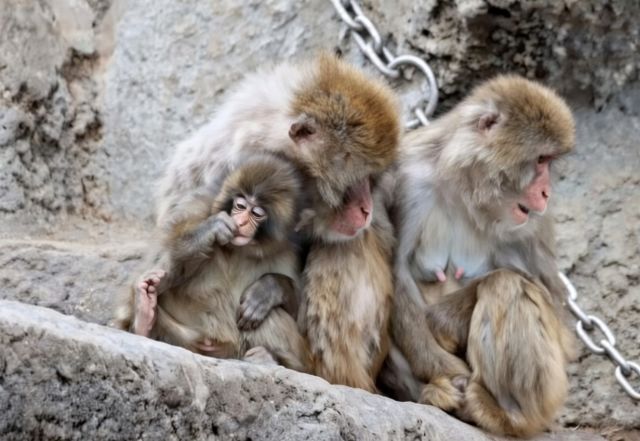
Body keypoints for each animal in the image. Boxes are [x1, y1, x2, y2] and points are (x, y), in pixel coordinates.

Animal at [114, 154, 311, 372]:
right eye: (240, 206)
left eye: (257, 213)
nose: (241, 222)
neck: (242, 248)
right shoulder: (195, 207)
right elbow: (159, 259)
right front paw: (211, 230)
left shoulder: (290, 250)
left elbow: (301, 316)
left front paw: (268, 289)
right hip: (189, 341)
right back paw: (144, 317)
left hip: (233, 349)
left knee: (271, 313)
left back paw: (268, 357)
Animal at [388, 75, 578, 437]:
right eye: (541, 160)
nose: (547, 192)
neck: (465, 190)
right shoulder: (407, 180)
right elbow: (397, 271)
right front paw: (445, 370)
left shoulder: (533, 221)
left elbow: (553, 308)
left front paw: (443, 321)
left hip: (551, 392)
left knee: (508, 286)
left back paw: (503, 415)